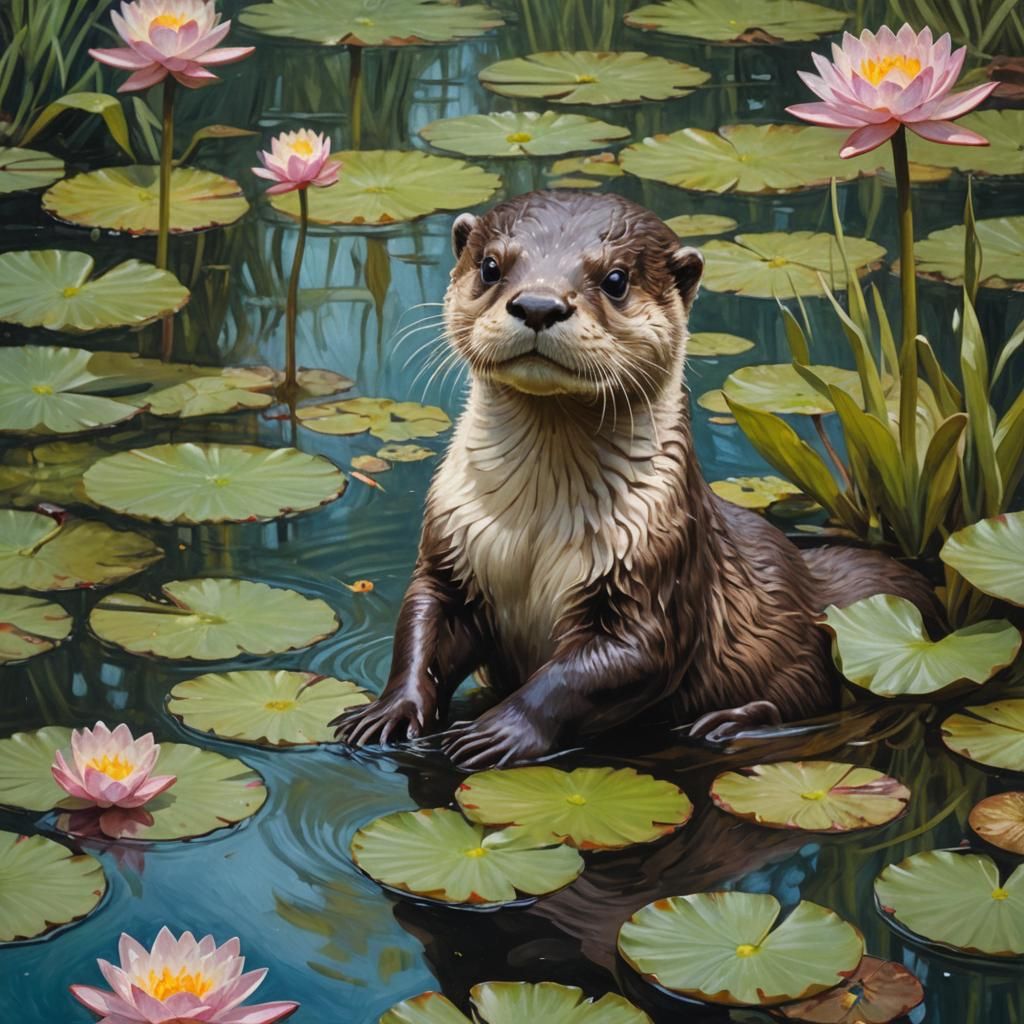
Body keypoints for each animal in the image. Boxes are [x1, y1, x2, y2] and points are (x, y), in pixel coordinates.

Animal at [333, 190, 936, 768]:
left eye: (615, 280)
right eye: (490, 266)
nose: (538, 304)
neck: (533, 530)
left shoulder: (658, 565)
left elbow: (601, 667)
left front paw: (497, 730)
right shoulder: (452, 544)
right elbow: (422, 624)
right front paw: (388, 710)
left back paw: (729, 721)